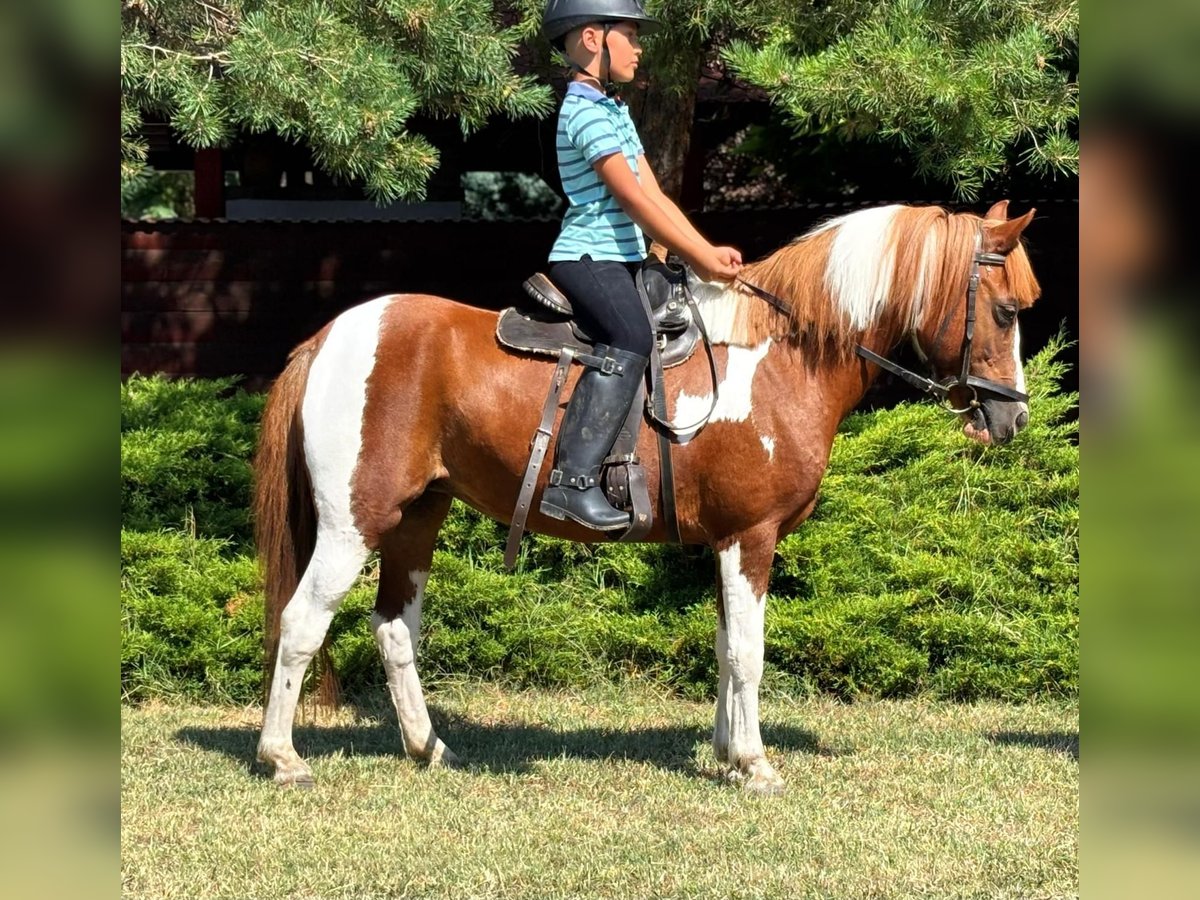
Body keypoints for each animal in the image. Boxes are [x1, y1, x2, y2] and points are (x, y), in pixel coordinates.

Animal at [253, 199, 1040, 795]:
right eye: (1005, 312)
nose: (1012, 418)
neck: (778, 356)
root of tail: (329, 337)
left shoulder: (727, 540)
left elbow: (724, 646)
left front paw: (725, 754)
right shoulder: (751, 536)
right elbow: (749, 652)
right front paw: (755, 764)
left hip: (419, 516)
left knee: (394, 627)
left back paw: (428, 747)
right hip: (354, 522)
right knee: (302, 623)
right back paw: (281, 756)